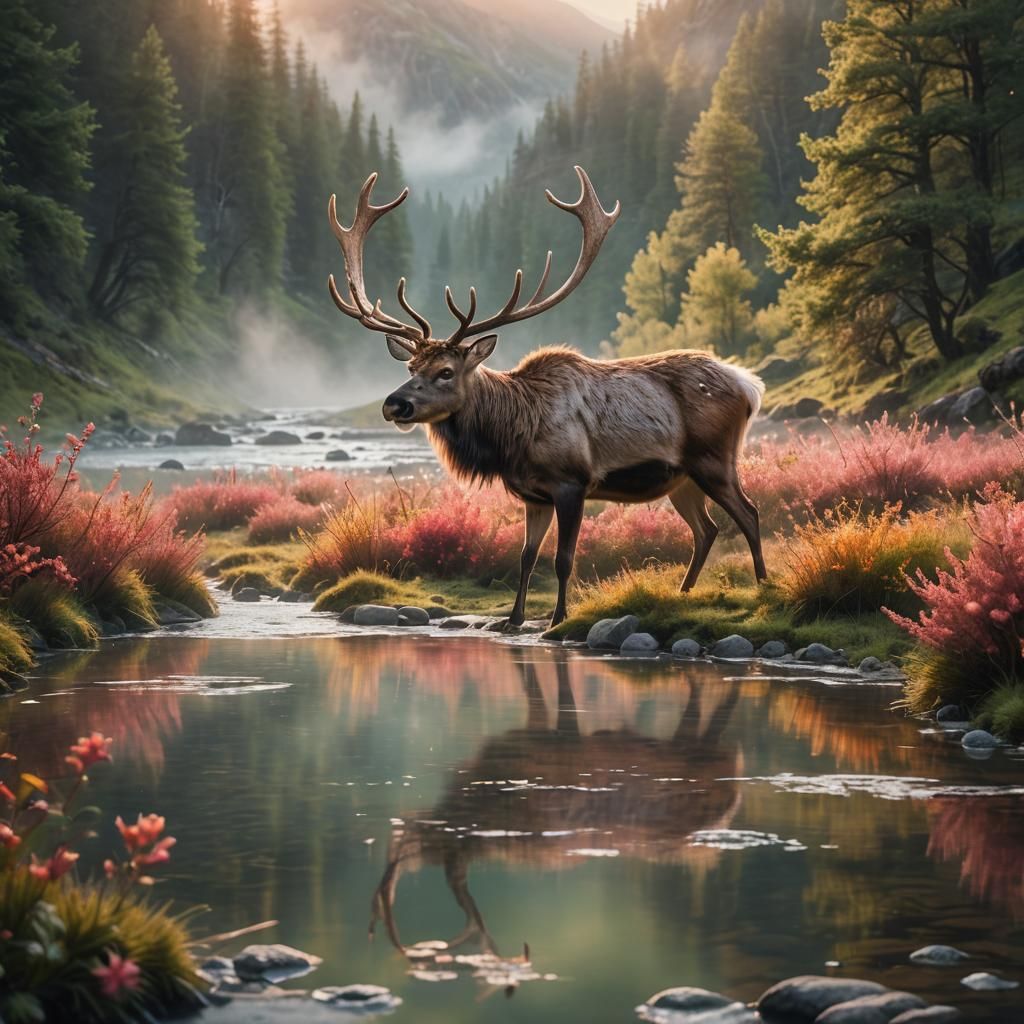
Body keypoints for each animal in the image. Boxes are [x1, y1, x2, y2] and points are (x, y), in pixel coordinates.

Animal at [328, 167, 766, 627]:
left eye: (445, 371)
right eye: (411, 368)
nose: (393, 404)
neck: (511, 437)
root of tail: (750, 386)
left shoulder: (572, 482)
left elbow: (563, 558)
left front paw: (557, 619)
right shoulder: (531, 494)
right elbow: (526, 556)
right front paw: (514, 618)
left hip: (714, 459)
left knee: (749, 514)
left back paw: (762, 587)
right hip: (682, 478)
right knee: (707, 529)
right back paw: (683, 593)